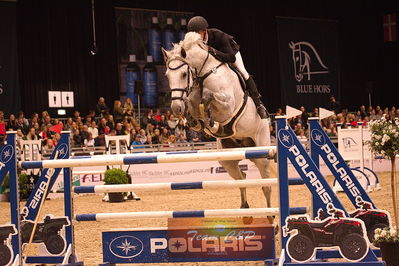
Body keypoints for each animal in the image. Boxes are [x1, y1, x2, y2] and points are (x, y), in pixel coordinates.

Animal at [162, 32, 276, 208]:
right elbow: (193, 109)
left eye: (183, 74)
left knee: (266, 186)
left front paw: (211, 122)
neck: (203, 74)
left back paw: (271, 214)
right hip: (227, 159)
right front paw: (198, 120)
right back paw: (244, 207)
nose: (176, 108)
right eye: (167, 76)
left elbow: (209, 96)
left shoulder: (228, 105)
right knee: (241, 178)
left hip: (262, 151)